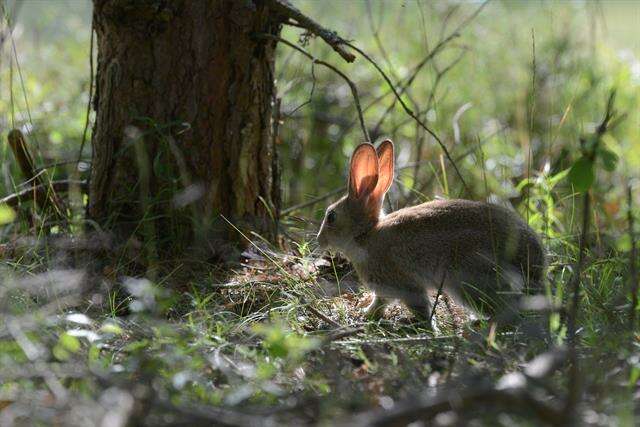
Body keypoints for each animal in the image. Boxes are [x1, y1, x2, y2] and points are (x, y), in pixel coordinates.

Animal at [316, 141, 544, 328]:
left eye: (331, 217)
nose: (319, 240)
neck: (365, 234)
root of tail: (536, 269)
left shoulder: (404, 283)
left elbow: (418, 306)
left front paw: (427, 326)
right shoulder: (385, 290)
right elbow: (379, 303)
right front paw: (366, 314)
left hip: (467, 280)